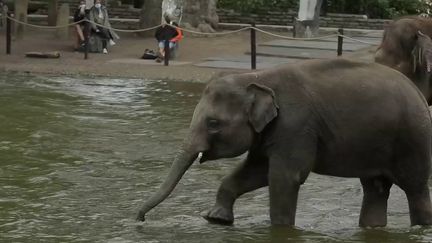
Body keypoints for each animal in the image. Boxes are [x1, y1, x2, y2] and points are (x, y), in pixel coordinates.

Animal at [138, 59, 432, 228]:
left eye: (213, 123)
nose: (139, 220)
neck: (257, 77)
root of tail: (419, 93)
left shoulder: (296, 125)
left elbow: (284, 177)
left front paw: (280, 230)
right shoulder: (269, 131)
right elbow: (254, 171)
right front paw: (216, 219)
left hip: (412, 138)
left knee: (415, 188)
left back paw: (420, 227)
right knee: (375, 188)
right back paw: (372, 229)